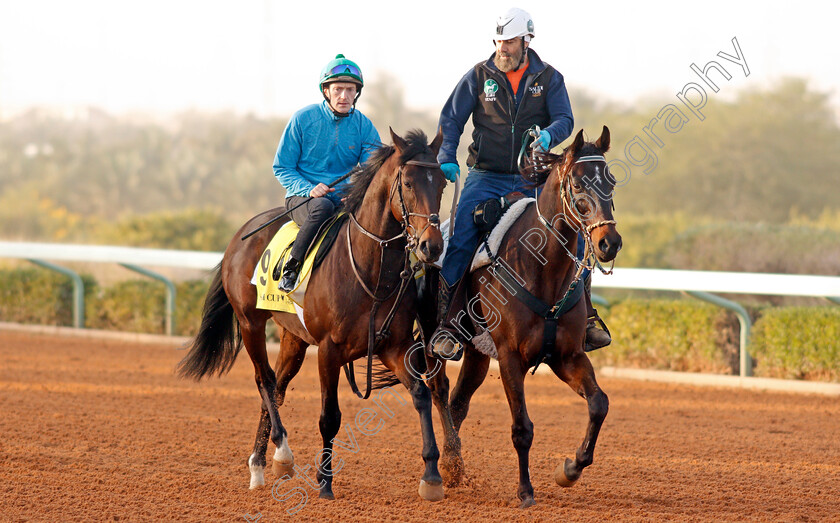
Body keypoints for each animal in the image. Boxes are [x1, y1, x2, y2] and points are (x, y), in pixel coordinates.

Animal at [176, 129, 450, 502]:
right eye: (407, 182)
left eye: (442, 183)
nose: (431, 246)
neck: (370, 269)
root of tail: (240, 235)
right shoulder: (329, 350)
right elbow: (329, 417)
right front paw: (325, 483)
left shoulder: (394, 346)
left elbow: (421, 396)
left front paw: (432, 476)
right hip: (250, 323)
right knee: (264, 381)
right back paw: (282, 454)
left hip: (293, 338)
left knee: (276, 389)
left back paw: (260, 466)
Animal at [424, 126, 620, 508]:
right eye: (577, 183)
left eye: (612, 181)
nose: (610, 243)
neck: (540, 267)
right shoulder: (510, 358)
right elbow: (522, 428)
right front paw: (526, 491)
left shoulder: (567, 356)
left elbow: (599, 404)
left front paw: (570, 469)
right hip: (429, 341)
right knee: (438, 392)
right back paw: (441, 470)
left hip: (477, 355)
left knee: (458, 403)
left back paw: (454, 466)